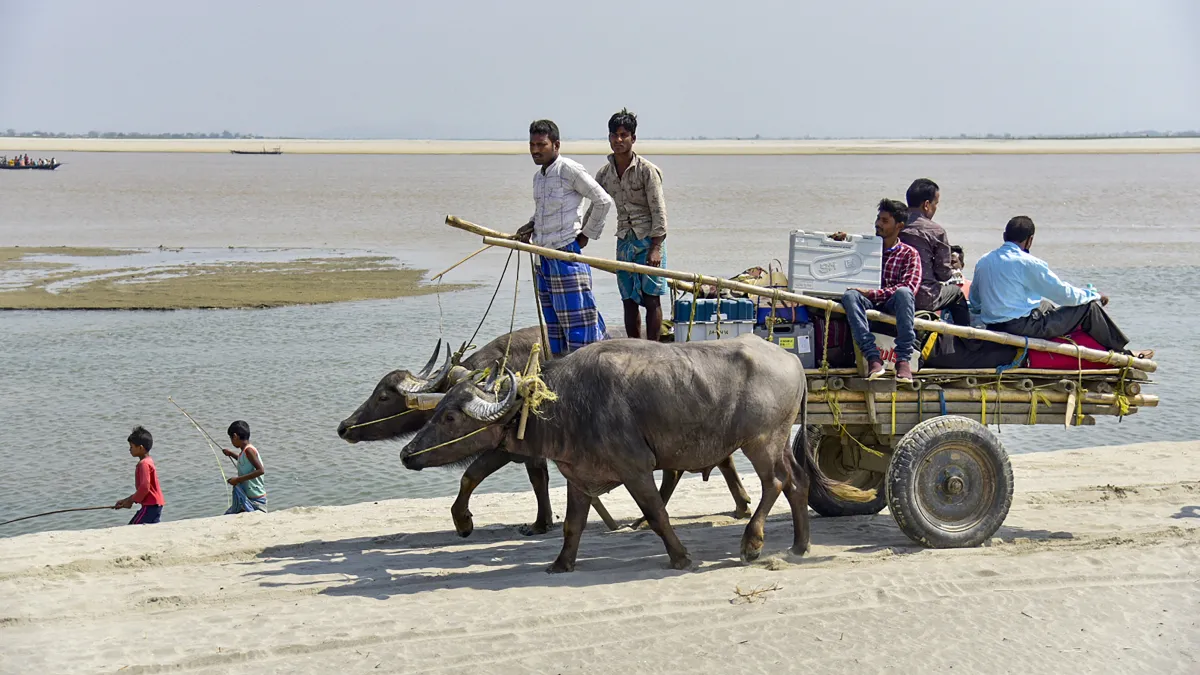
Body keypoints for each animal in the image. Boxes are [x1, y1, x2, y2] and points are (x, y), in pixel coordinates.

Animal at [338, 326, 748, 535]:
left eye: (383, 395)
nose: (345, 427)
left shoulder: (508, 446)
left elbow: (472, 475)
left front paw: (466, 522)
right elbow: (538, 480)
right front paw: (542, 521)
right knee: (712, 459)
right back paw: (736, 504)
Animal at [398, 333, 878, 569]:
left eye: (450, 417)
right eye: (438, 408)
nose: (406, 454)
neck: (566, 404)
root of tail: (793, 360)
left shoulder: (636, 469)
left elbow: (658, 514)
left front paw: (681, 557)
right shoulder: (578, 476)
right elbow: (572, 526)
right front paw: (560, 564)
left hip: (762, 440)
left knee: (776, 481)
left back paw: (752, 543)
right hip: (775, 441)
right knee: (797, 483)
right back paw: (799, 545)